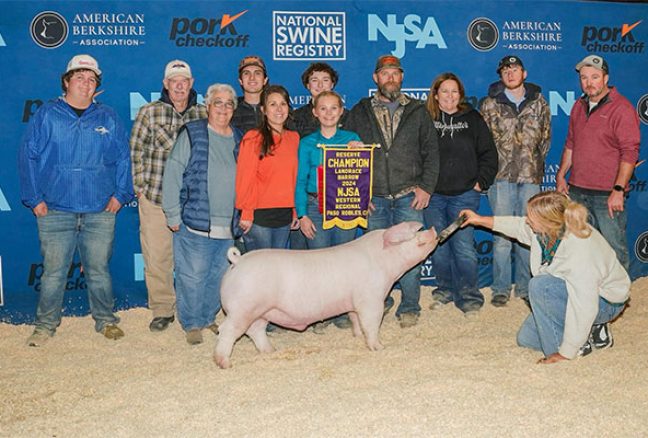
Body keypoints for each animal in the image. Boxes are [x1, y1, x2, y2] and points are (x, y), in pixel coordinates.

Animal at [215, 221, 438, 368]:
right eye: (411, 234)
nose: (433, 229)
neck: (385, 263)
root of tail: (237, 261)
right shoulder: (371, 299)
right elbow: (371, 323)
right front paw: (379, 347)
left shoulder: (354, 302)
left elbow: (355, 320)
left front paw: (357, 337)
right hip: (242, 309)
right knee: (227, 330)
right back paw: (224, 363)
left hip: (262, 311)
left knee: (256, 331)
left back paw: (271, 351)